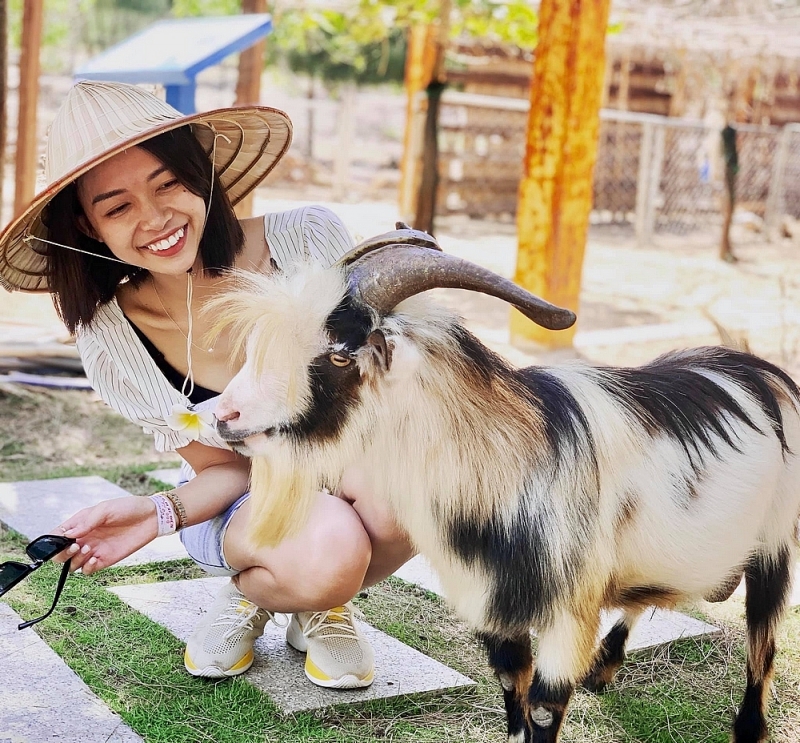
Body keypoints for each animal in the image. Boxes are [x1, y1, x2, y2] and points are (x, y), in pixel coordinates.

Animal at [208, 228, 800, 743]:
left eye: (337, 354)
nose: (224, 415)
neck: (506, 466)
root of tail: (765, 372)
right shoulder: (496, 607)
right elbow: (513, 693)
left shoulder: (566, 613)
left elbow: (541, 707)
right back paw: (603, 670)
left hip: (774, 543)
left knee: (762, 640)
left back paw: (749, 728)